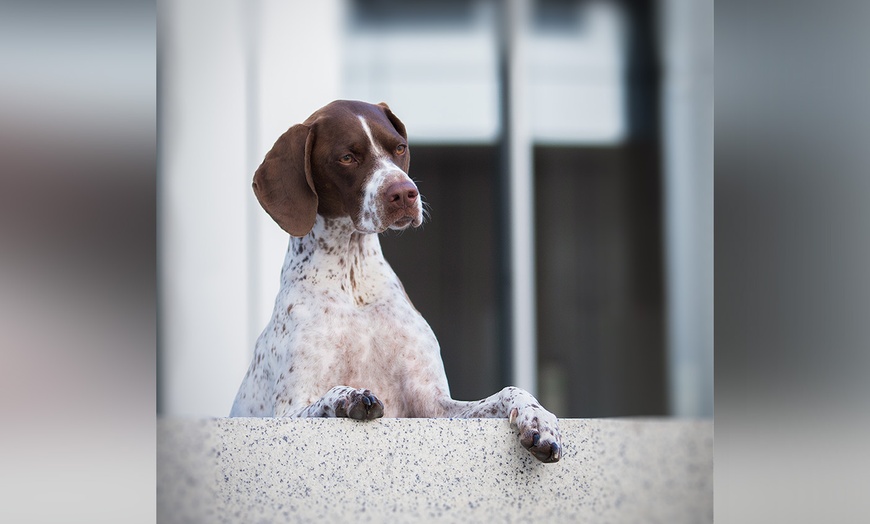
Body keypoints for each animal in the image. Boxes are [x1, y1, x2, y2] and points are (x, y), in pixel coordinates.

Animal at [228, 100, 564, 460]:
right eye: (347, 157)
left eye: (399, 148)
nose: (405, 193)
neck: (353, 277)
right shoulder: (289, 409)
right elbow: (328, 396)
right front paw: (348, 397)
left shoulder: (433, 405)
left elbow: (508, 391)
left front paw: (539, 418)